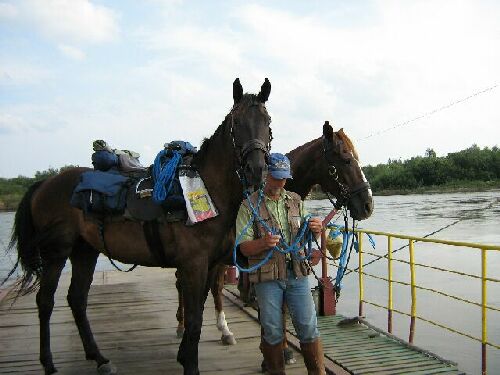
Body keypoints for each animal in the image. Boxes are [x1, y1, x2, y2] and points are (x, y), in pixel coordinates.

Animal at [6, 78, 274, 374]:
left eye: (267, 121)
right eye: (236, 122)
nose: (256, 170)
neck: (208, 190)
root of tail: (44, 184)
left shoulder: (209, 265)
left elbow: (199, 312)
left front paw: (184, 356)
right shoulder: (194, 265)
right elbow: (194, 321)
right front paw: (190, 364)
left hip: (84, 251)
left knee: (77, 299)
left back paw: (99, 358)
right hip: (57, 252)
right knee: (45, 301)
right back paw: (49, 363)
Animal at [174, 122, 374, 350]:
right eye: (346, 159)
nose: (368, 205)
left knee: (213, 287)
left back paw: (223, 331)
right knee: (188, 285)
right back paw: (184, 325)